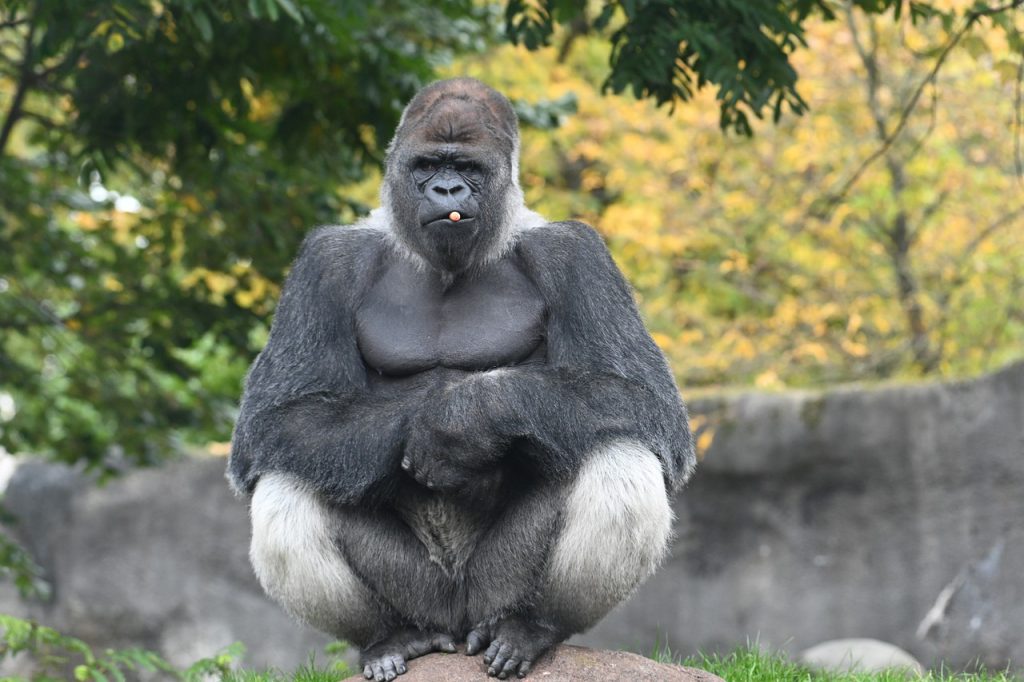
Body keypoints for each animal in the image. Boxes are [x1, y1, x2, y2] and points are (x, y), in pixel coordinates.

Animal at [228, 78, 695, 681]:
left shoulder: (575, 252)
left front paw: (460, 420)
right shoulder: (325, 262)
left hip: (491, 591)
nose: (447, 189)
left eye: (468, 169)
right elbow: (279, 418)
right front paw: (435, 422)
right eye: (428, 165)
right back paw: (389, 637)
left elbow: (639, 397)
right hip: (425, 598)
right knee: (290, 477)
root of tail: (455, 623)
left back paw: (532, 627)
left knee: (619, 450)